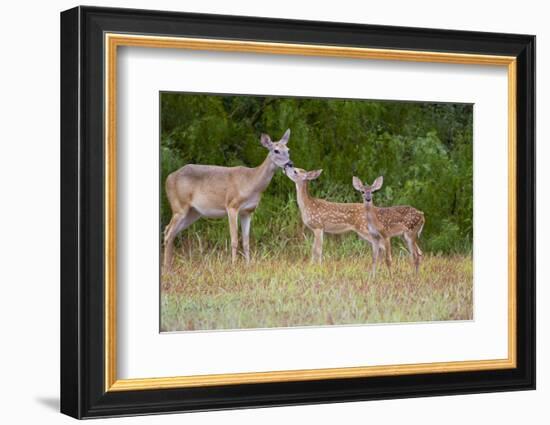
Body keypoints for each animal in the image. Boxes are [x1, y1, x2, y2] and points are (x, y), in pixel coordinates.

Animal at [163, 129, 294, 268]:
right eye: (276, 150)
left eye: (288, 150)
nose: (290, 164)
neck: (251, 182)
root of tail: (168, 178)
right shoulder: (232, 205)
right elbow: (234, 240)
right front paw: (234, 265)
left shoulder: (248, 211)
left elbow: (246, 241)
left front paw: (248, 265)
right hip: (179, 206)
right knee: (168, 232)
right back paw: (167, 268)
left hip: (193, 212)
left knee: (170, 232)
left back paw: (169, 267)